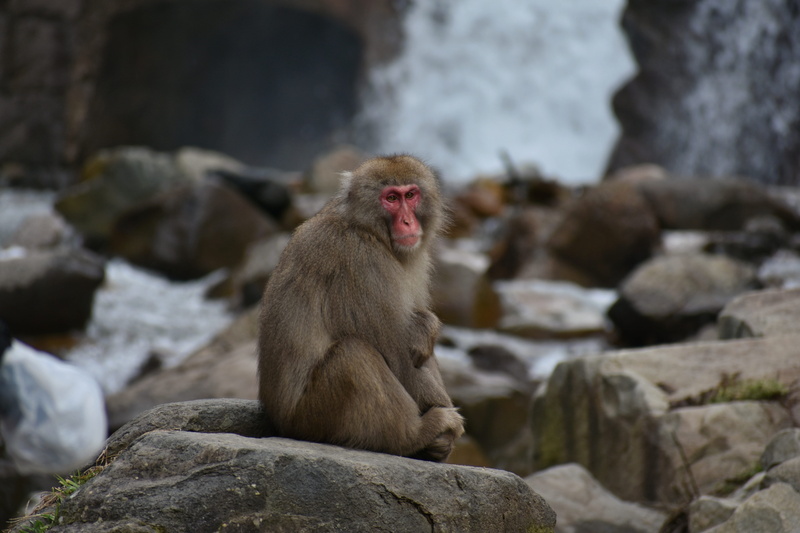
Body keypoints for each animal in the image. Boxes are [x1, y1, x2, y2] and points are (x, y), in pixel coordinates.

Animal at [257, 155, 464, 461]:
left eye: (410, 195)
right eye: (391, 198)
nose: (407, 221)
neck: (367, 229)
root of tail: (280, 422)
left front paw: (427, 326)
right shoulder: (362, 264)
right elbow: (398, 357)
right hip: (313, 416)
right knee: (353, 355)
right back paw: (414, 435)